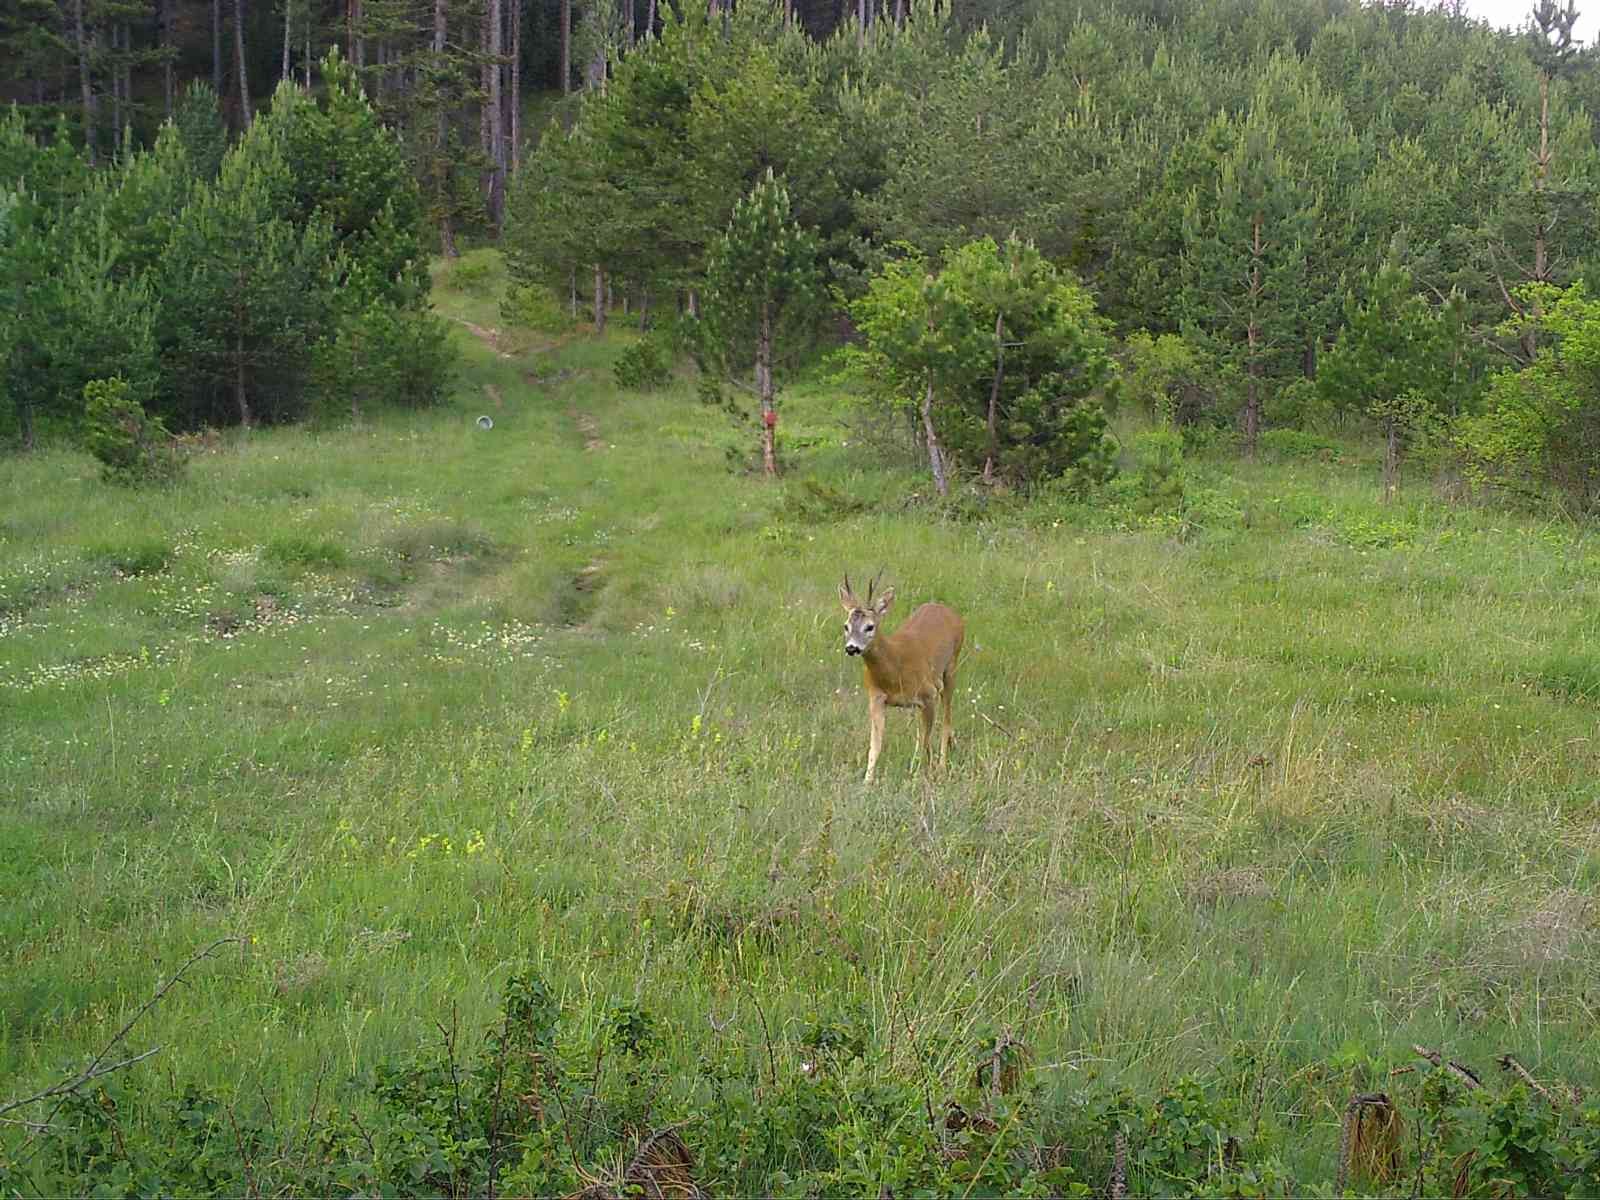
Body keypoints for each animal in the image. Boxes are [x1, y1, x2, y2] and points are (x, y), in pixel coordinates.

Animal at [838, 576, 960, 790]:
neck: (895, 668)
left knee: (946, 719)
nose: (851, 648)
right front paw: (867, 782)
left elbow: (927, 740)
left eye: (870, 626)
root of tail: (949, 611)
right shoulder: (876, 697)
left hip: (951, 668)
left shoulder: (928, 694)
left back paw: (942, 766)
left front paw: (926, 774)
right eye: (846, 626)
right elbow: (875, 745)